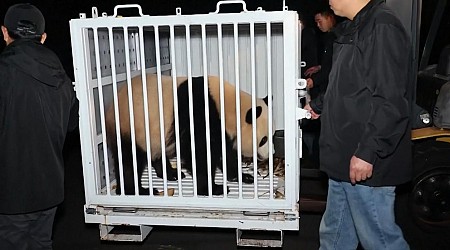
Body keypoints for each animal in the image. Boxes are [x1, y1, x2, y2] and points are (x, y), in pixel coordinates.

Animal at [105, 73, 270, 196]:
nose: (269, 154)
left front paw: (243, 176)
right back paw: (136, 190)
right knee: (129, 160)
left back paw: (171, 174)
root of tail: (110, 107)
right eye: (263, 140)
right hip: (130, 126)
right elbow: (199, 154)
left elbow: (226, 154)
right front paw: (213, 189)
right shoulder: (199, 115)